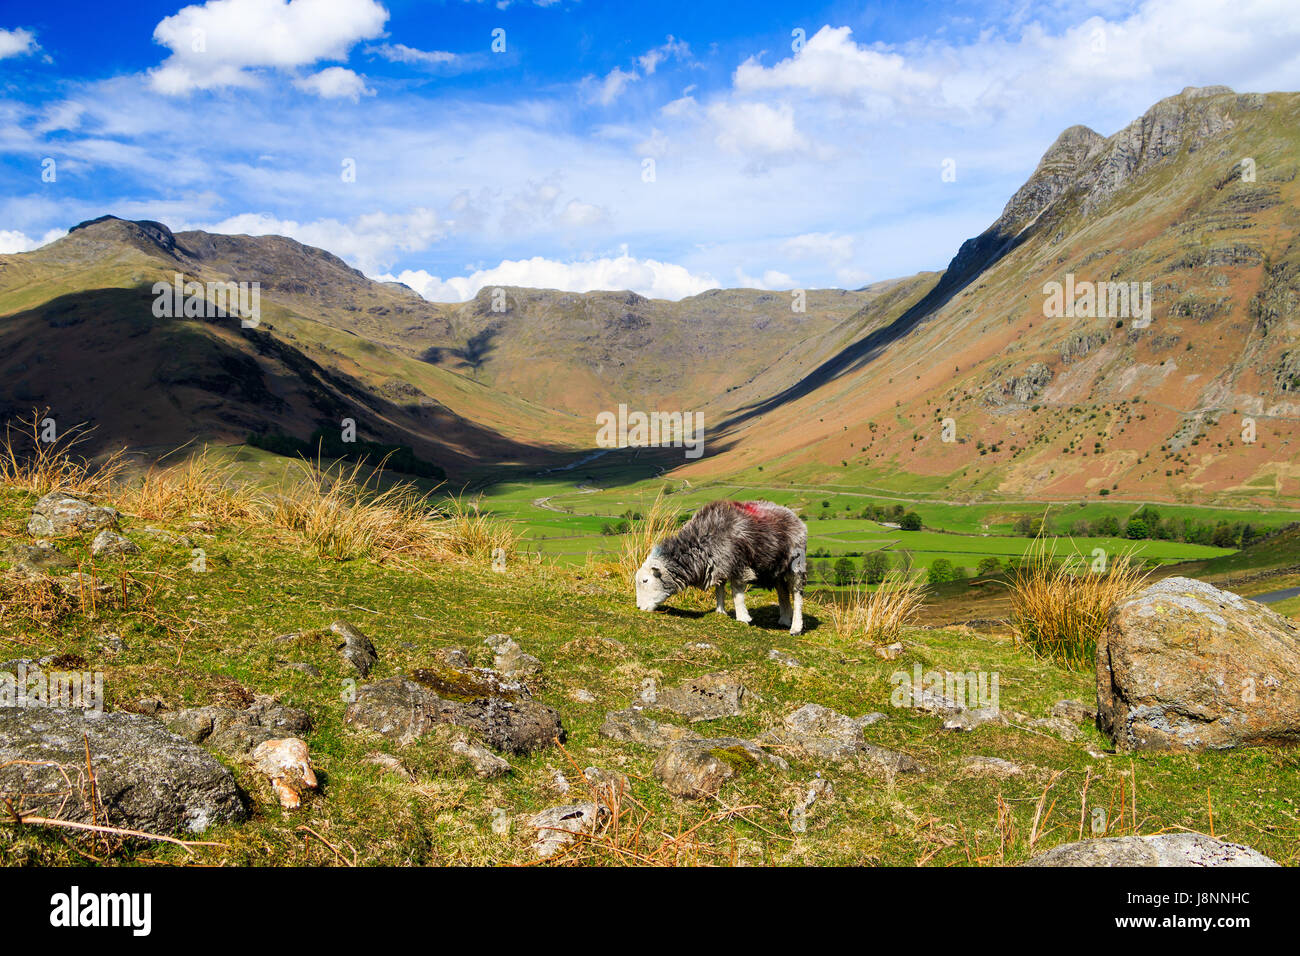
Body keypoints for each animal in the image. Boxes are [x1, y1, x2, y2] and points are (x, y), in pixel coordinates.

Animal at [634, 502, 806, 634]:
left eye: (645, 580)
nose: (639, 607)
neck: (701, 542)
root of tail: (795, 517)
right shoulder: (718, 566)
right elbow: (719, 590)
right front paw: (720, 612)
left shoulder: (738, 566)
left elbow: (736, 594)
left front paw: (742, 618)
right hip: (776, 570)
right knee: (783, 592)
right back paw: (785, 619)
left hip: (796, 565)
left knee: (797, 594)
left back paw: (796, 627)